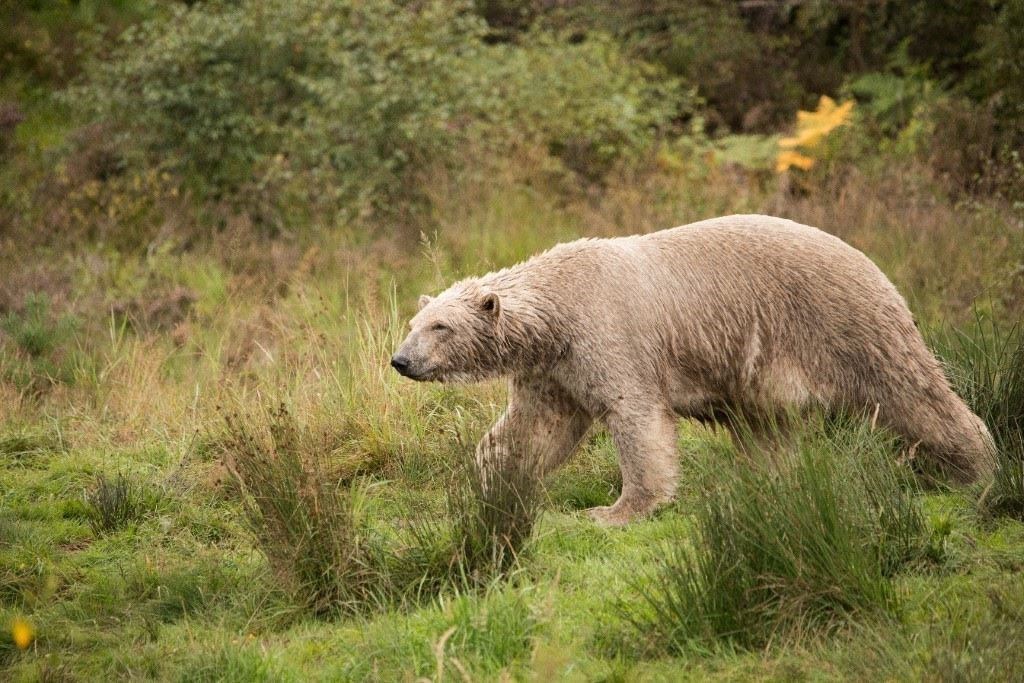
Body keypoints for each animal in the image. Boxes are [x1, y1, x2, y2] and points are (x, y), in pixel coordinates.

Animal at [389, 216, 991, 528]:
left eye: (440, 327)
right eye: (413, 323)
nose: (401, 360)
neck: (557, 305)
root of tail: (872, 262)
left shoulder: (609, 336)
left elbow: (637, 420)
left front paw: (616, 510)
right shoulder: (556, 369)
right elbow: (536, 428)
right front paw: (490, 485)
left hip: (844, 323)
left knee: (912, 394)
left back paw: (977, 466)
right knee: (768, 431)